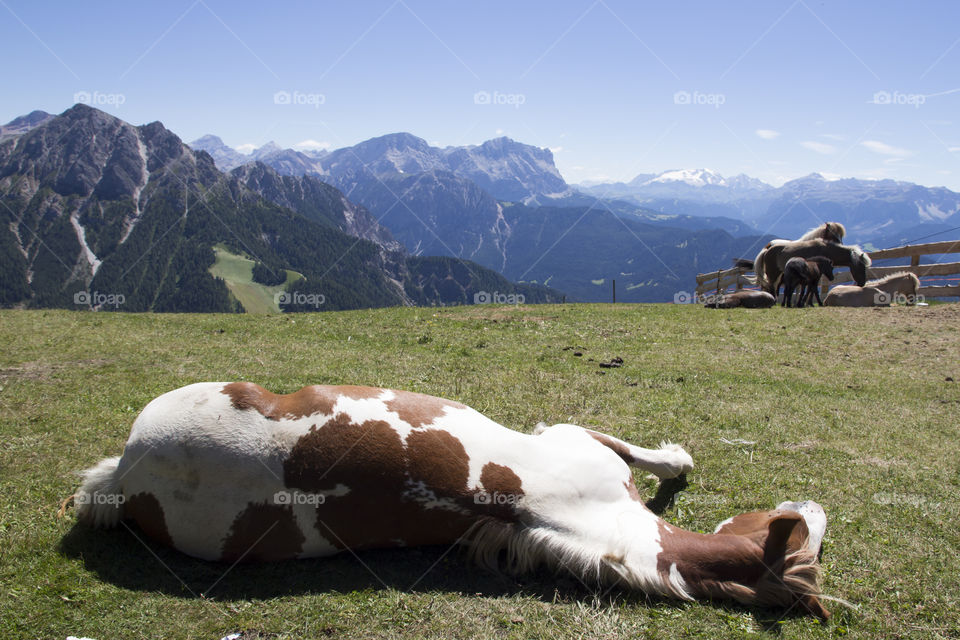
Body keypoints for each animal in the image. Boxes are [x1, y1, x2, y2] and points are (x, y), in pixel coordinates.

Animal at [71, 382, 828, 616]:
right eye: (808, 543)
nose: (816, 509)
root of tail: (127, 473)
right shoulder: (575, 434)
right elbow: (661, 456)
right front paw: (678, 461)